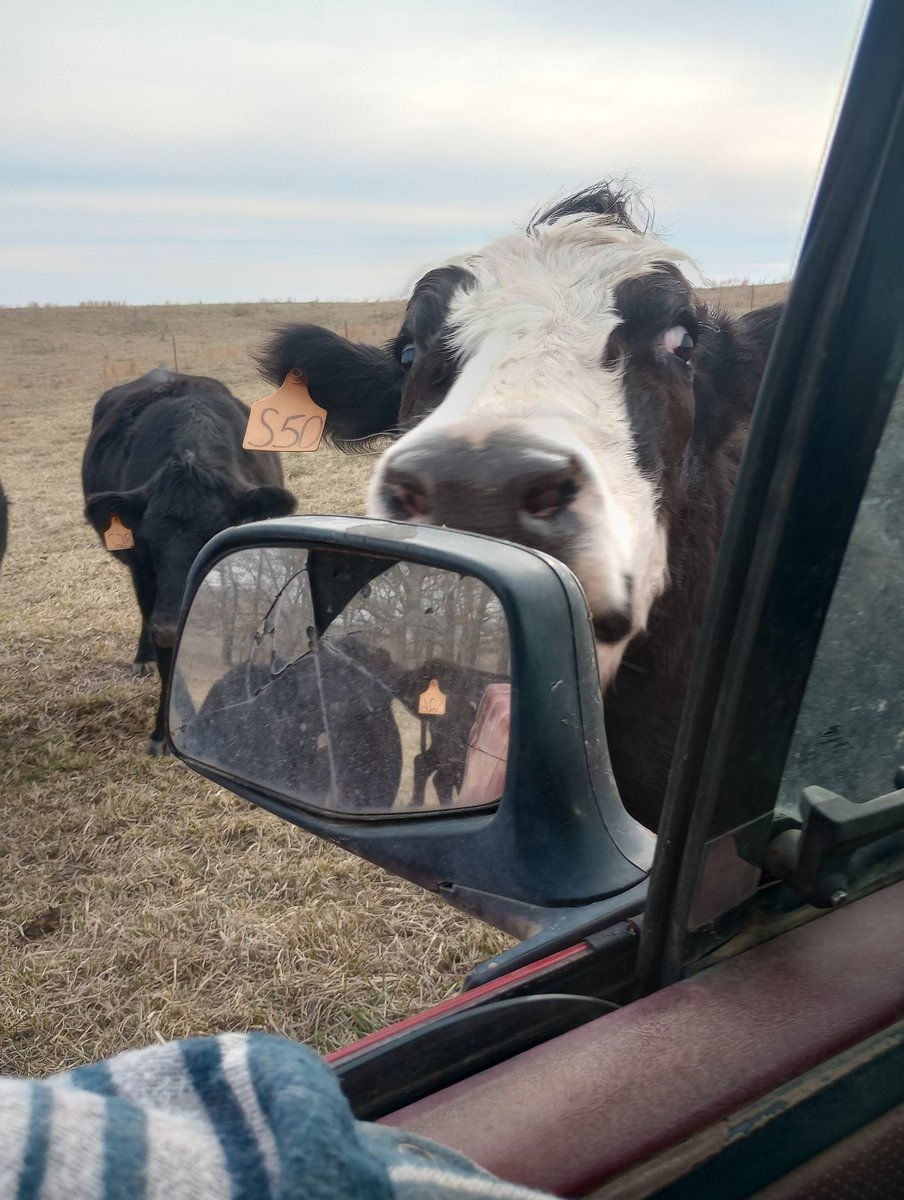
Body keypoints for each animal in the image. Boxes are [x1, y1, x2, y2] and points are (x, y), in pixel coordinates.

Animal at [82, 368, 297, 754]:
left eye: (216, 537)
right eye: (149, 539)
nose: (169, 626)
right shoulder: (144, 572)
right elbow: (170, 659)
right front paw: (161, 733)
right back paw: (143, 657)